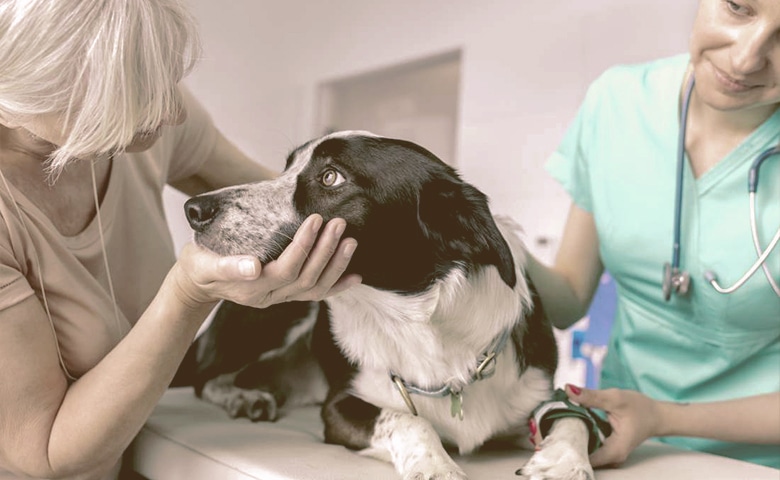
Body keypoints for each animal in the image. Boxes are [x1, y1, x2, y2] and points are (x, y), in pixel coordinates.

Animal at [184, 131, 592, 480]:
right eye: (287, 168)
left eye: (331, 177)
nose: (193, 209)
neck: (414, 323)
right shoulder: (338, 408)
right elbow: (408, 419)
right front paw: (435, 466)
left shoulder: (539, 396)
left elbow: (573, 416)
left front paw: (565, 461)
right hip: (282, 314)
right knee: (203, 379)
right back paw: (244, 397)